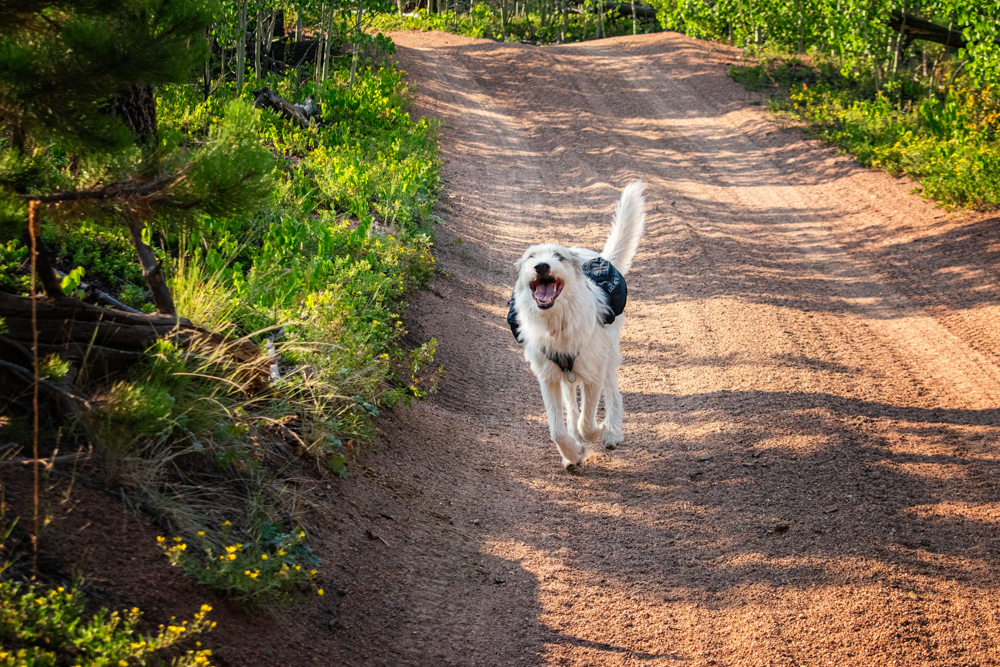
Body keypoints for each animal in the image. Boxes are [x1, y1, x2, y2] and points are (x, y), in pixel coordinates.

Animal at [508, 183, 648, 470]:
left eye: (558, 257)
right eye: (530, 257)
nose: (542, 266)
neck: (557, 322)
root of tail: (596, 256)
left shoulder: (593, 373)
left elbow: (588, 420)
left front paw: (595, 434)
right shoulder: (548, 377)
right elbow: (557, 429)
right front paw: (573, 452)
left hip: (608, 354)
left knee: (612, 393)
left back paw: (612, 431)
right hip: (567, 376)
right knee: (572, 407)